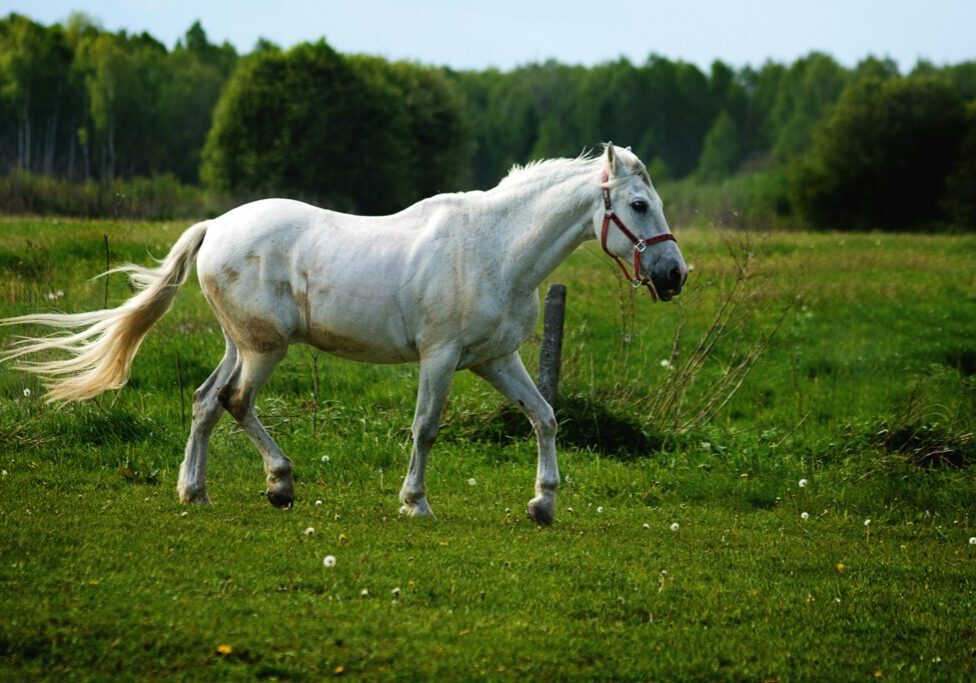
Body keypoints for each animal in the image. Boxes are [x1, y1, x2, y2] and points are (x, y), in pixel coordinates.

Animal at [1, 142, 688, 520]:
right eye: (637, 205)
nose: (674, 275)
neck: (494, 248)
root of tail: (215, 225)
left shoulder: (496, 359)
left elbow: (544, 417)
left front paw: (543, 504)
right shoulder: (440, 358)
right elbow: (425, 428)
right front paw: (415, 502)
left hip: (241, 343)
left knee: (204, 402)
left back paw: (194, 492)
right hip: (265, 348)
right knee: (235, 401)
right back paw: (279, 484)